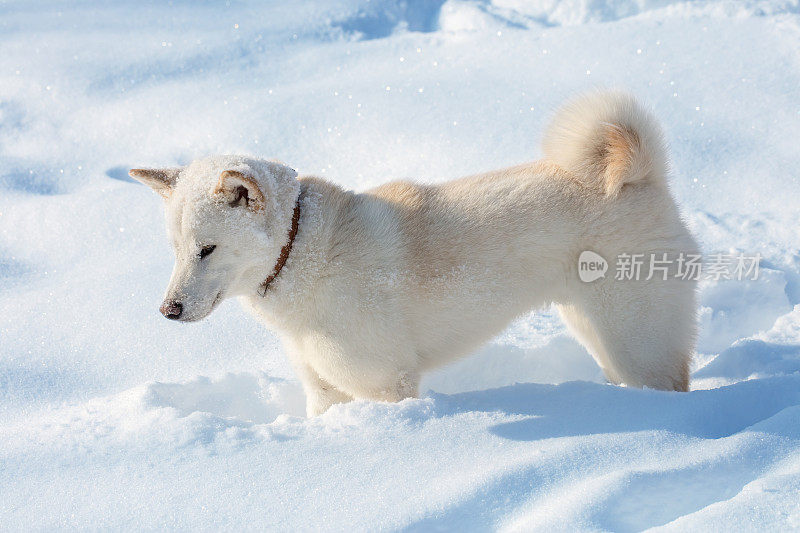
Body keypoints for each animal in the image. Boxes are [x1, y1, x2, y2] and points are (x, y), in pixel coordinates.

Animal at [134, 91, 696, 416]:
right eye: (177, 250)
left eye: (208, 249)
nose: (167, 311)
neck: (301, 251)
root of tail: (643, 178)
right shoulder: (326, 391)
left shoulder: (387, 384)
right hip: (597, 332)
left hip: (638, 340)